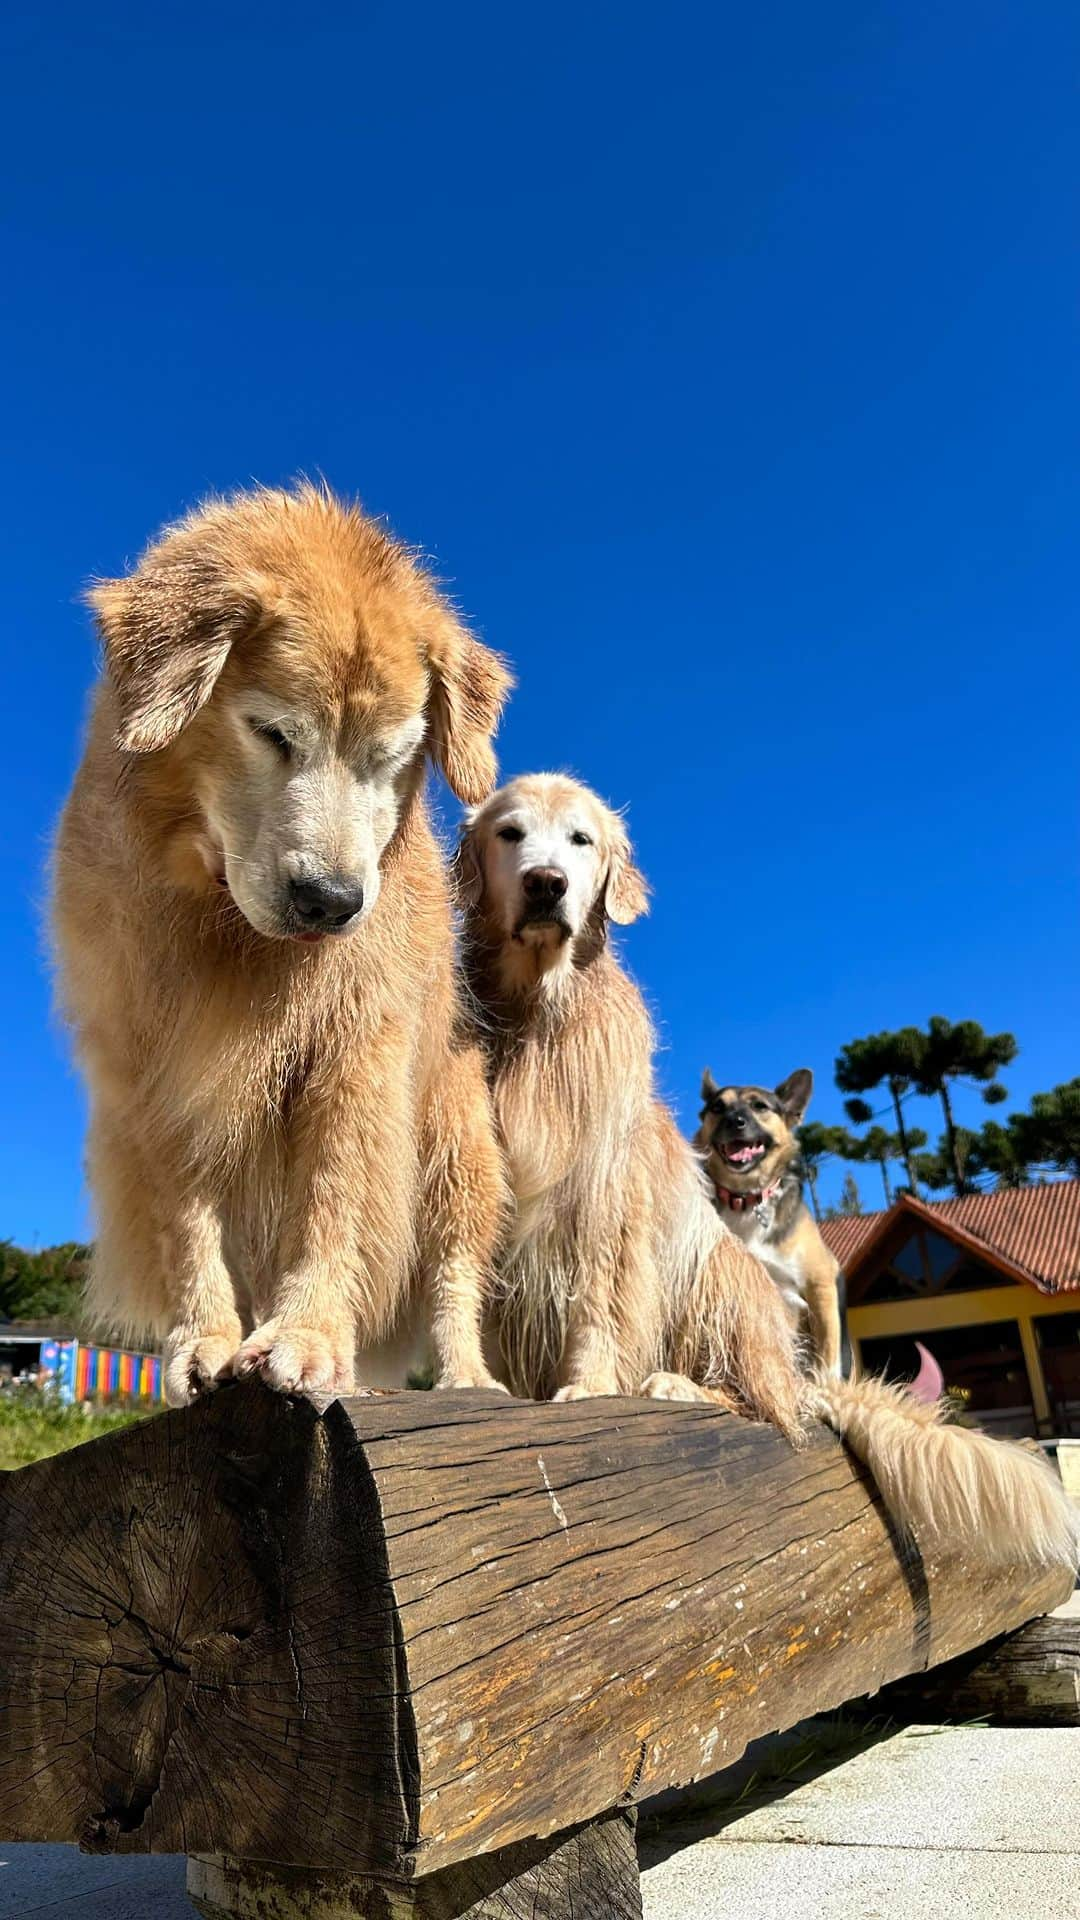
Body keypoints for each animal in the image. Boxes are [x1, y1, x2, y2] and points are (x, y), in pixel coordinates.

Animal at [55, 487, 511, 1405]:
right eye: (270, 733)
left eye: (391, 757)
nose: (331, 902)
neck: (229, 930)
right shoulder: (157, 1083)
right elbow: (187, 1225)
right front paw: (205, 1340)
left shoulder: (355, 1055)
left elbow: (333, 1197)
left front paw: (308, 1337)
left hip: (457, 1144)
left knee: (453, 1272)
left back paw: (467, 1379)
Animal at [687, 1075, 849, 1374]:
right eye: (717, 1107)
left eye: (760, 1106)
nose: (734, 1121)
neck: (746, 1199)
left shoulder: (821, 1284)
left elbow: (828, 1357)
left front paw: (826, 1383)